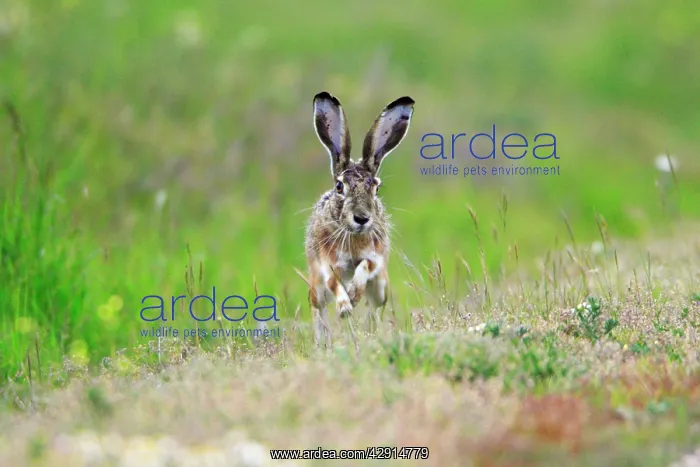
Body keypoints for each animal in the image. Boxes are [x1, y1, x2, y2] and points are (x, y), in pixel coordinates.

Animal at [304, 91, 415, 346]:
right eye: (339, 187)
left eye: (376, 188)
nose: (362, 218)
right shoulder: (328, 263)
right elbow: (335, 283)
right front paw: (345, 306)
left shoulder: (375, 256)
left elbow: (365, 266)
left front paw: (354, 293)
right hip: (316, 287)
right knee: (318, 308)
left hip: (382, 287)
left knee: (375, 308)